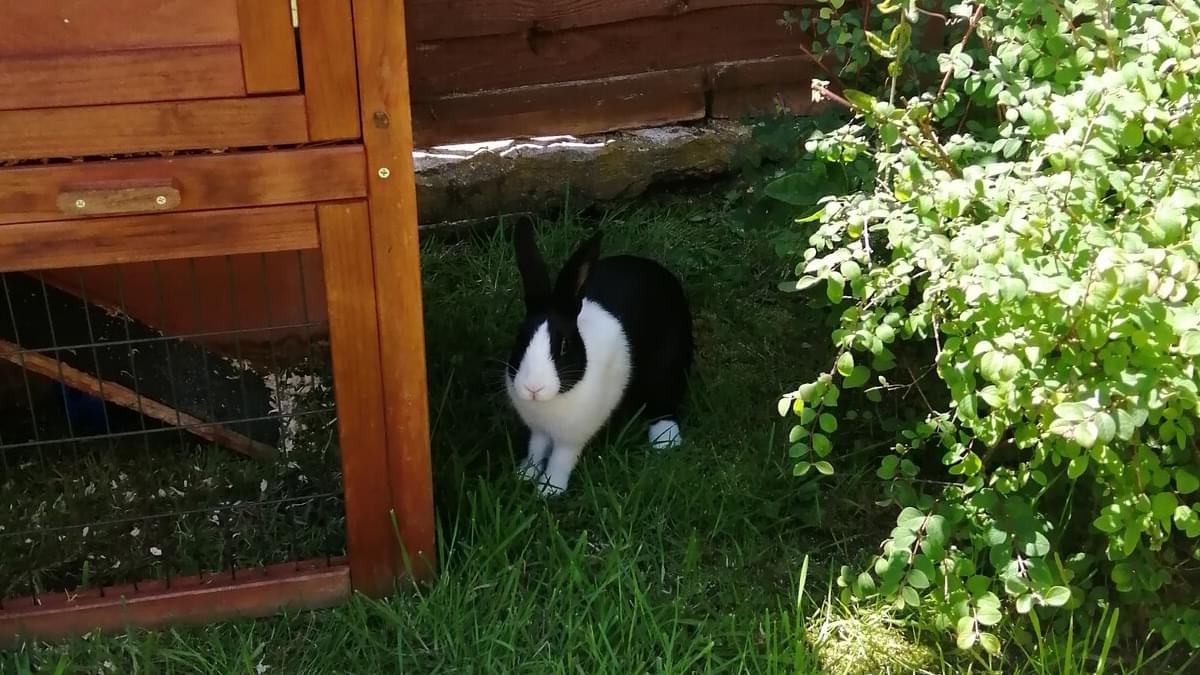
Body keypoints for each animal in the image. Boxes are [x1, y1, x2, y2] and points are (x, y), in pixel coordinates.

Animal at [504, 220, 693, 496]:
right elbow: (536, 450)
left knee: (664, 402)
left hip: (667, 366)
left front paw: (549, 490)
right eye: (520, 338)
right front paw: (524, 475)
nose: (533, 388)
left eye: (564, 346)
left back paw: (665, 441)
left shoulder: (571, 439)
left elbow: (560, 460)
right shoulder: (539, 431)